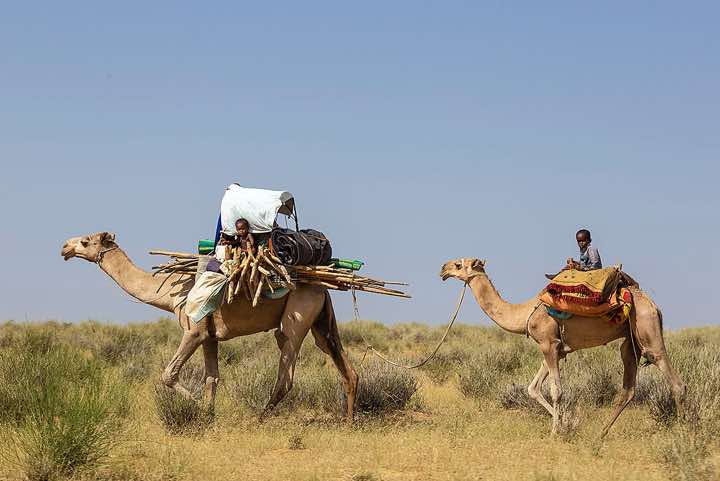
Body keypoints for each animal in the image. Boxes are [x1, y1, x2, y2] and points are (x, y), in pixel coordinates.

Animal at [61, 232, 358, 418]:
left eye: (85, 241)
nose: (64, 247)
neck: (169, 292)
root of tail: (322, 287)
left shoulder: (194, 329)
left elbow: (168, 374)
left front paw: (197, 407)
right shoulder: (211, 335)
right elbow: (212, 377)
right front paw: (209, 413)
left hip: (296, 316)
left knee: (286, 370)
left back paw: (259, 417)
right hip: (321, 319)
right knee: (345, 367)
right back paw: (348, 421)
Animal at [440, 258, 686, 436]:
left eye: (459, 264)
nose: (443, 269)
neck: (525, 312)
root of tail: (654, 305)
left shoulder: (548, 344)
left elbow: (556, 390)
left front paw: (555, 432)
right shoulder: (555, 349)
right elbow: (533, 388)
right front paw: (566, 421)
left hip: (646, 326)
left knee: (672, 378)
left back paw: (683, 430)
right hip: (630, 340)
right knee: (628, 388)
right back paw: (601, 433)